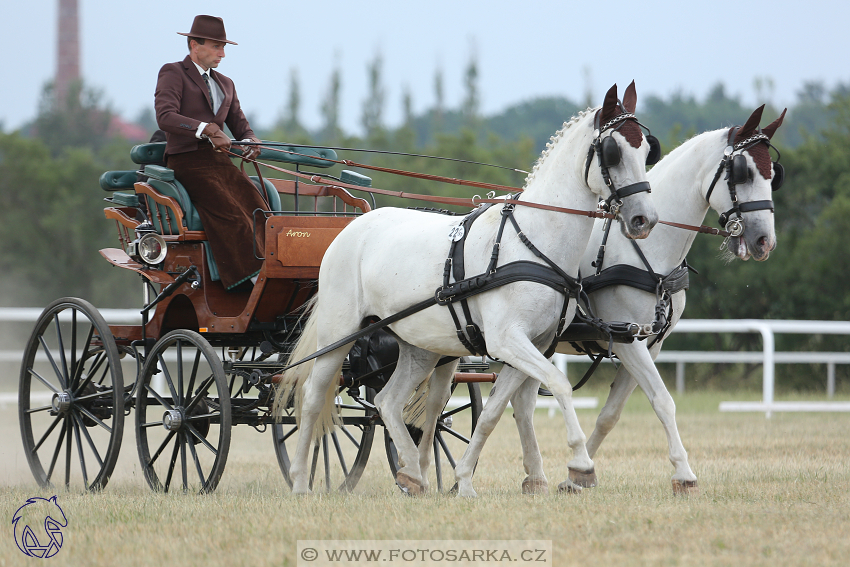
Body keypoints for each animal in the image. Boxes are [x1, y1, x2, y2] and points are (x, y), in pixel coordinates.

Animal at [276, 82, 656, 494]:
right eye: (613, 152)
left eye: (647, 150)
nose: (644, 219)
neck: (533, 240)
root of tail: (351, 229)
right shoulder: (506, 339)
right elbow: (559, 383)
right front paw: (581, 465)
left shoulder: (535, 344)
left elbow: (493, 410)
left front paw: (464, 480)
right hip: (339, 332)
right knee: (313, 397)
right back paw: (300, 481)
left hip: (420, 346)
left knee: (389, 402)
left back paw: (413, 475)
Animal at [464, 103, 780, 496]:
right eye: (743, 172)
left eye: (774, 174)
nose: (764, 241)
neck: (646, 253)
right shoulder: (628, 340)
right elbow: (662, 400)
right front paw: (683, 474)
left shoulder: (650, 344)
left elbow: (611, 414)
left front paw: (575, 476)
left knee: (521, 404)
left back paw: (534, 477)